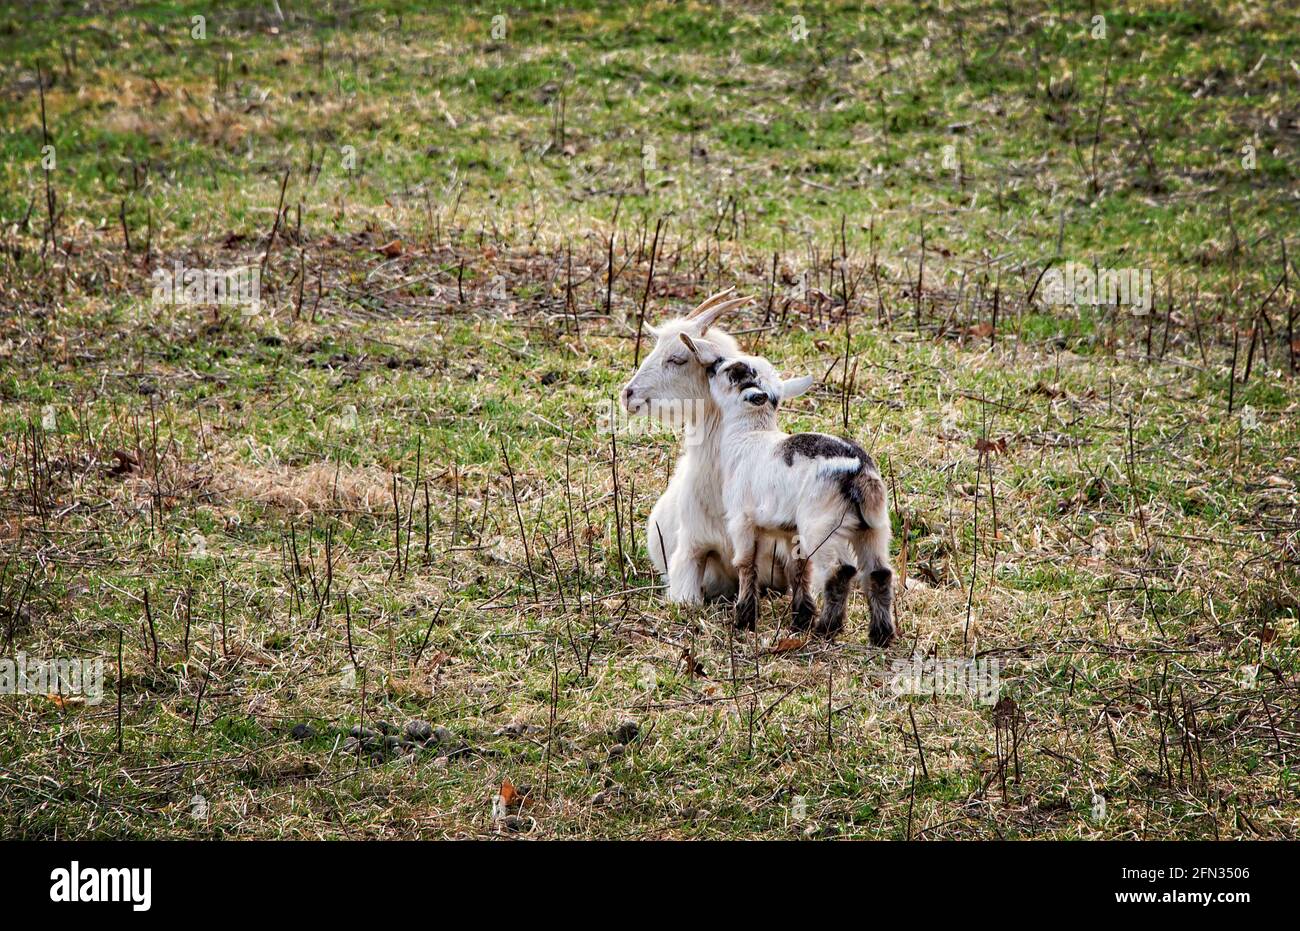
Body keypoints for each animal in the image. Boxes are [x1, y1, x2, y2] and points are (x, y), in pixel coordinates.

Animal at [681, 335, 894, 647]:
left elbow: (746, 564)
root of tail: (859, 472)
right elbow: (799, 569)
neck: (751, 436)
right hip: (875, 528)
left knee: (841, 571)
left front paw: (744, 621)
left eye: (732, 373)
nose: (712, 366)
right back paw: (881, 635)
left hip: (823, 526)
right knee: (879, 573)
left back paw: (827, 628)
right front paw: (800, 619)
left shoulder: (741, 520)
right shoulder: (787, 530)